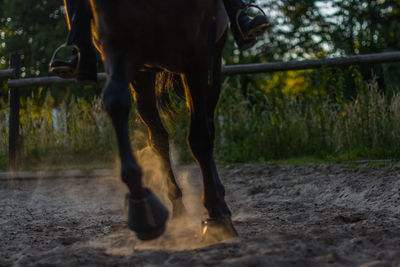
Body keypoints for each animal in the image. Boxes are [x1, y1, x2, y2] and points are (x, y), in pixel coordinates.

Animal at [87, 0, 238, 243]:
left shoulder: (195, 56)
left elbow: (200, 138)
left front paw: (216, 215)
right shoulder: (119, 46)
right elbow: (115, 101)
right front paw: (142, 208)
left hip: (211, 65)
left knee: (208, 127)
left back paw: (218, 199)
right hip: (143, 76)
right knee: (158, 138)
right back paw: (178, 208)